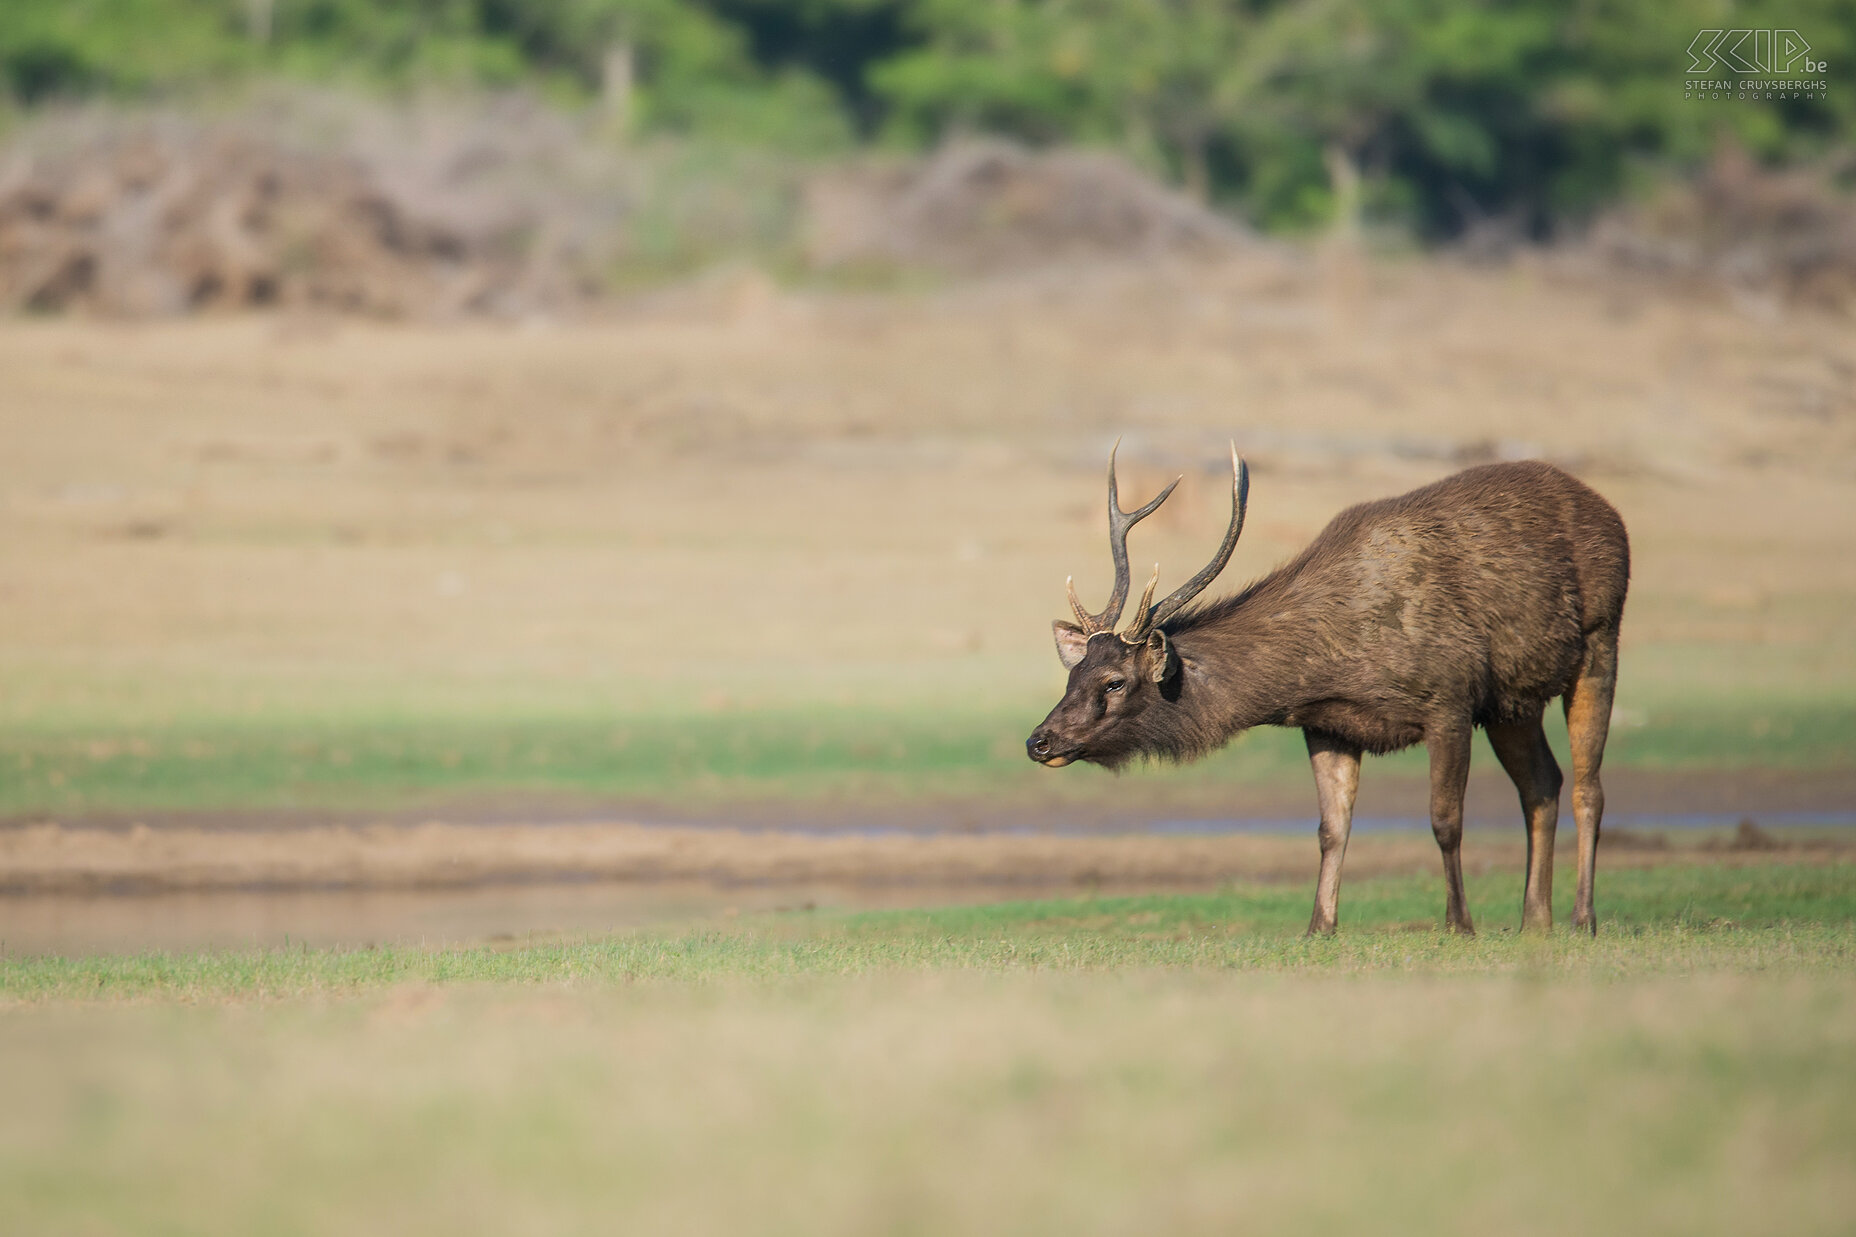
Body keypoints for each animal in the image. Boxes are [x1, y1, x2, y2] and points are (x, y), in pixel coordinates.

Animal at [1031, 445, 1625, 936]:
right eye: (1072, 674)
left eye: (1114, 681)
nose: (1039, 740)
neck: (1329, 666)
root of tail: (1611, 513)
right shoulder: (1326, 723)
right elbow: (1330, 828)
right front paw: (1319, 927)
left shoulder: (1450, 701)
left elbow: (1445, 821)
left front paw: (1459, 924)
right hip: (1511, 703)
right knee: (1541, 783)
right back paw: (1535, 920)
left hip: (1600, 640)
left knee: (1588, 788)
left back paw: (1583, 919)